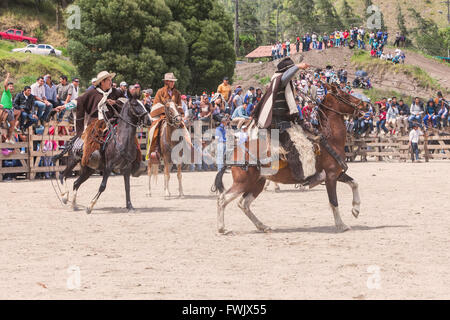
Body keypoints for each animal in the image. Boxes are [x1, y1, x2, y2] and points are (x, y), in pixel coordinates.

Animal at [215, 82, 370, 232]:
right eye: (345, 95)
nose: (366, 104)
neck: (330, 139)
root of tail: (235, 151)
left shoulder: (337, 173)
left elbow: (354, 183)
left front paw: (356, 209)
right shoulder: (331, 176)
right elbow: (334, 201)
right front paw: (341, 225)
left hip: (257, 183)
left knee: (244, 203)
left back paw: (262, 226)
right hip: (242, 182)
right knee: (223, 199)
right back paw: (222, 228)